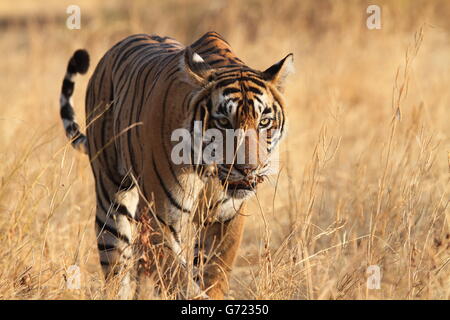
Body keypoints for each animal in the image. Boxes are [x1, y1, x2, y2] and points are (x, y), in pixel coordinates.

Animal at [59, 31, 292, 298]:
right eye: (223, 122)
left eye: (264, 121)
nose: (248, 169)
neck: (208, 169)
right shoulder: (159, 220)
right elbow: (180, 280)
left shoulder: (225, 218)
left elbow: (213, 274)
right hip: (112, 201)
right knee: (117, 271)